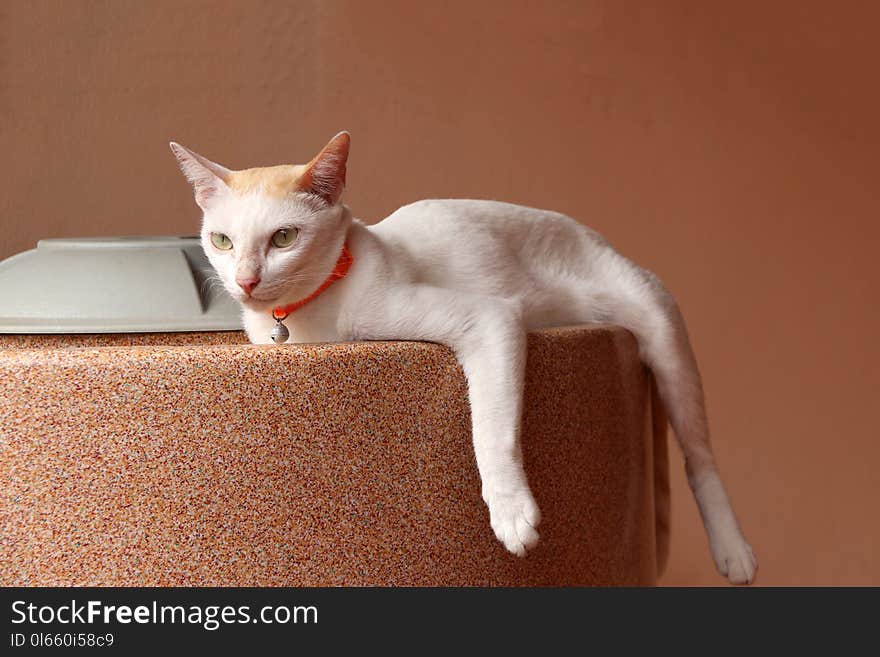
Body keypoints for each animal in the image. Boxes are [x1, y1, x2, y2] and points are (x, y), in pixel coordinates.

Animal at [170, 131, 756, 580]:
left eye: (284, 238)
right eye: (221, 241)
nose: (246, 281)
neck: (305, 325)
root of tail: (590, 231)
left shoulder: (488, 319)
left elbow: (491, 433)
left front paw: (512, 513)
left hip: (662, 328)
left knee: (700, 456)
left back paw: (734, 552)